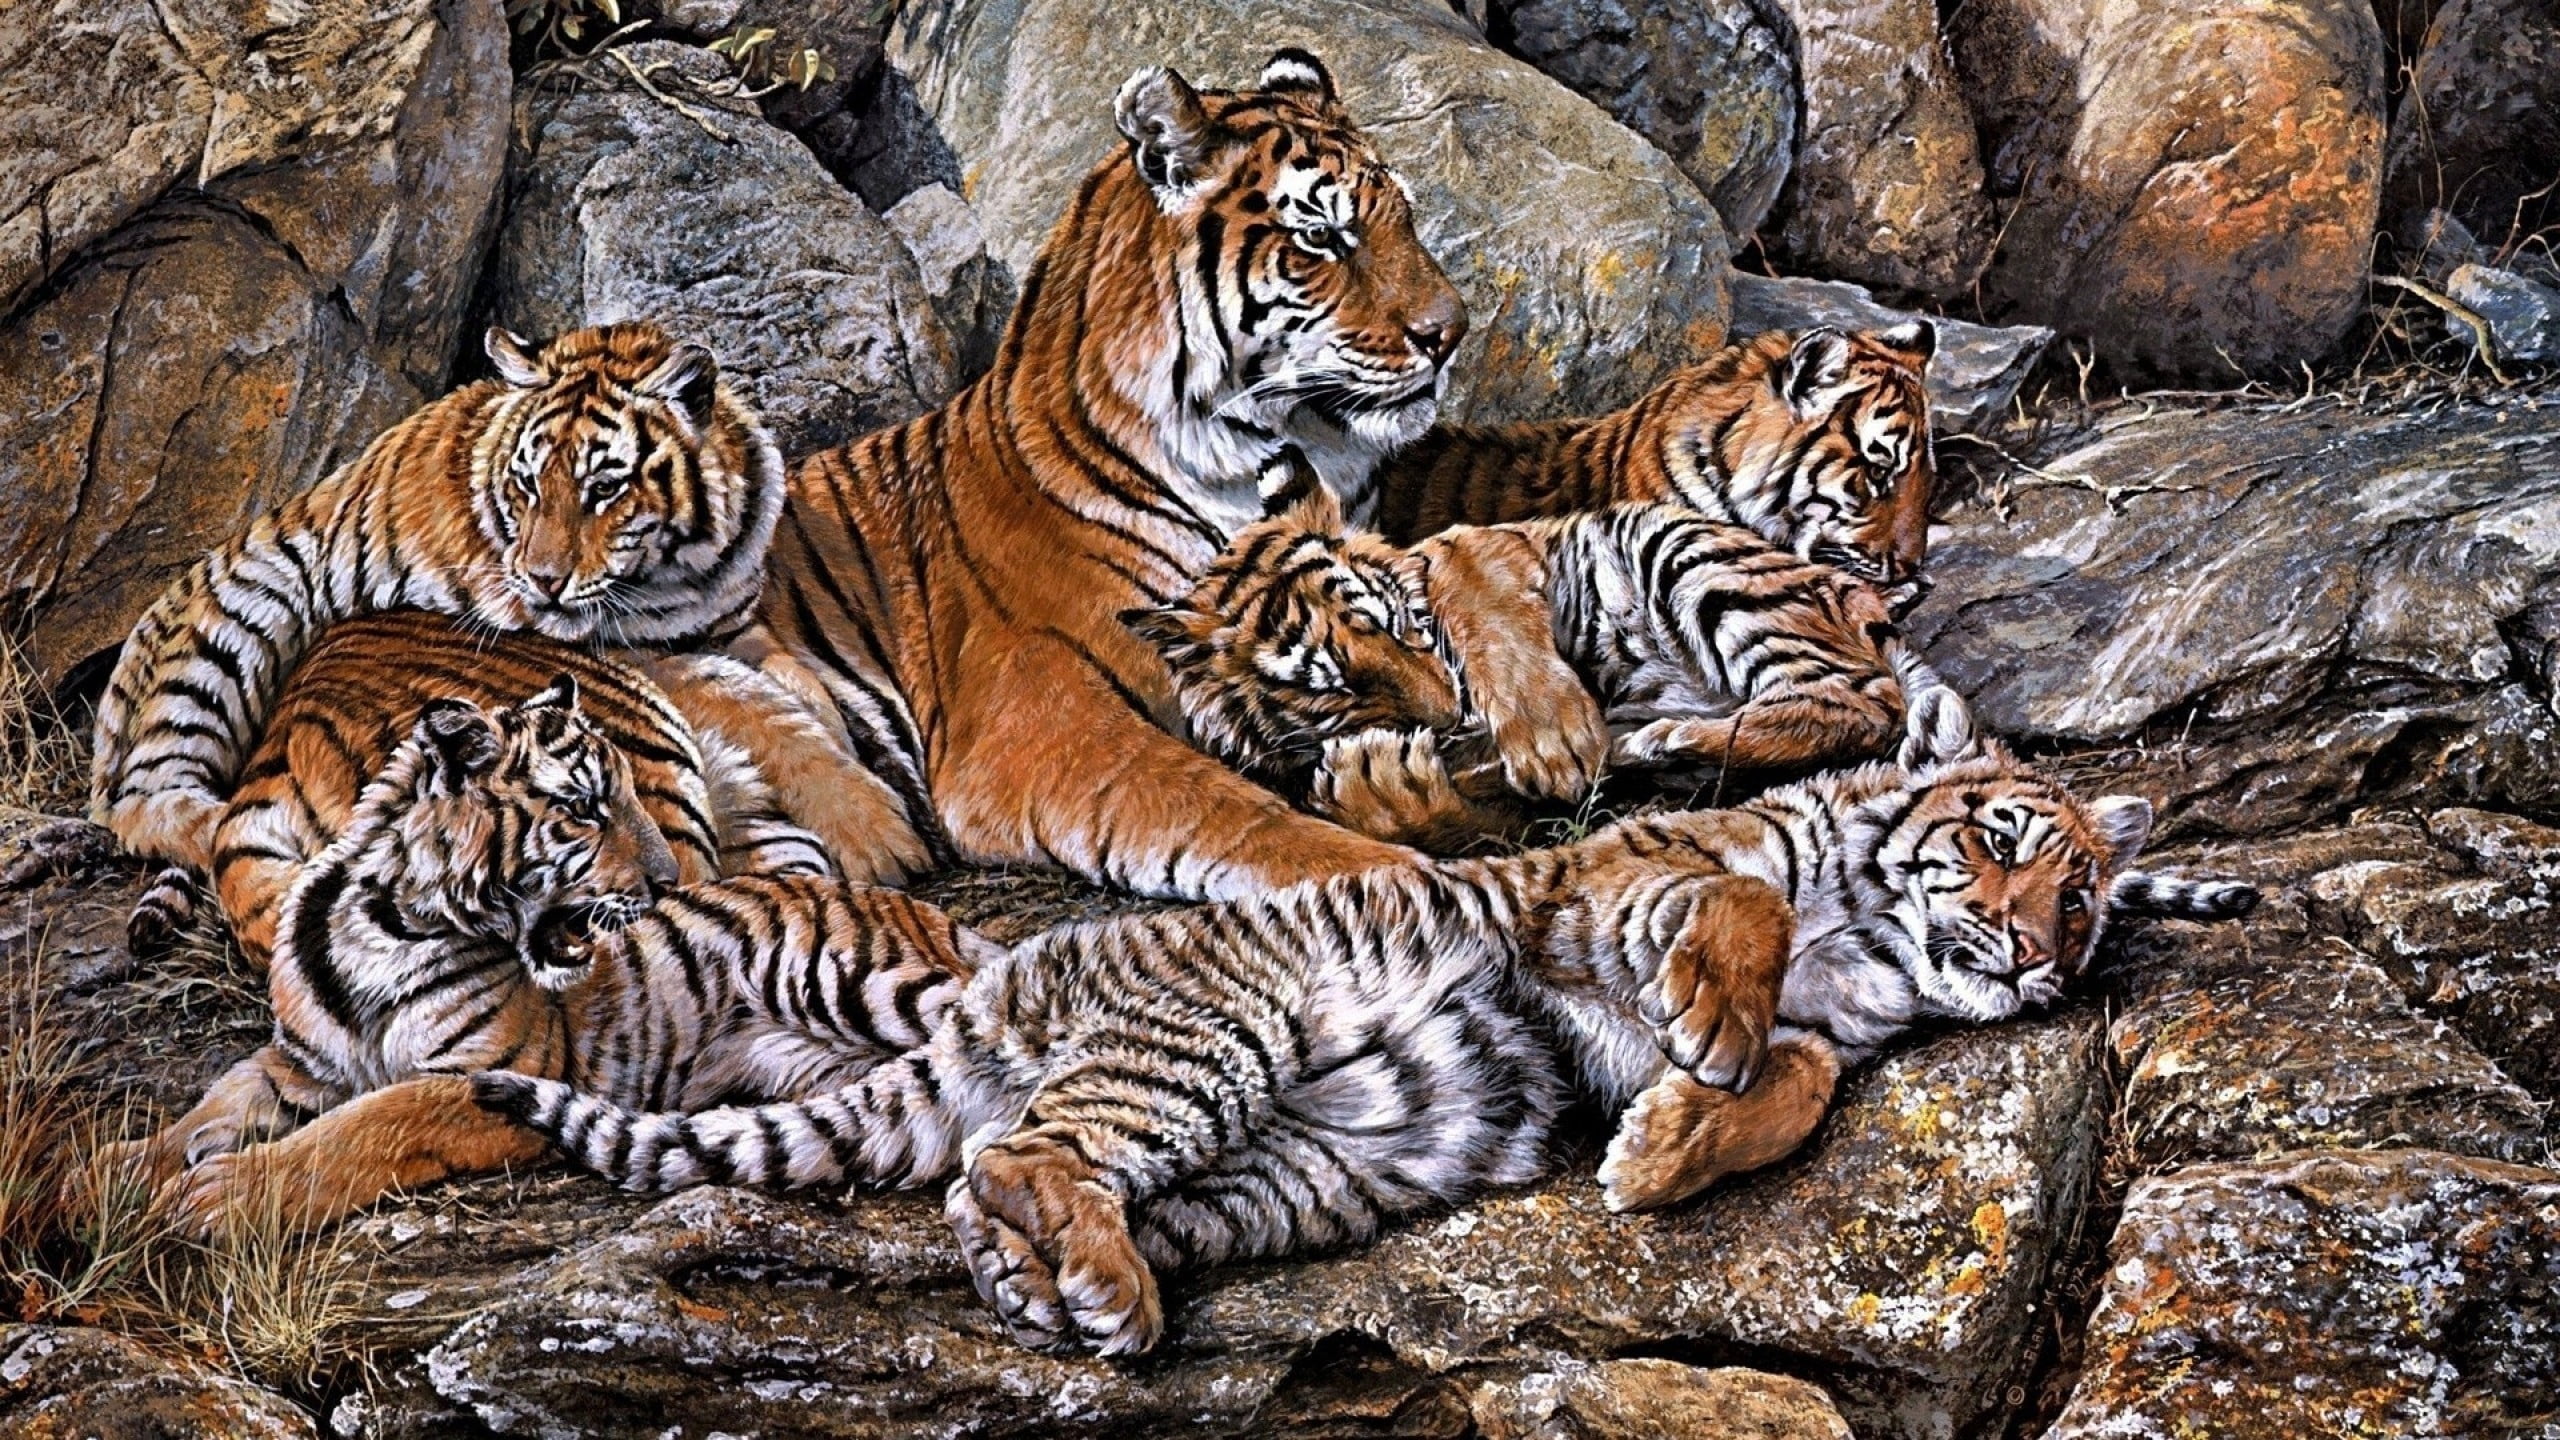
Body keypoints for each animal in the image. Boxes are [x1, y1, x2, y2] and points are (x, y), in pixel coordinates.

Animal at [83, 321, 919, 889]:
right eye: (527, 483)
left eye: (604, 487)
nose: (541, 581)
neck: (681, 571)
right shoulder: (634, 655)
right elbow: (763, 713)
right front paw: (878, 832)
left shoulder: (737, 627)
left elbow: (802, 688)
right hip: (228, 635)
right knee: (146, 805)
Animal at [113, 671, 978, 1236]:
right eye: (585, 809)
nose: (668, 879)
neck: (382, 925)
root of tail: (919, 909)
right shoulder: (299, 1069)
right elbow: (207, 1110)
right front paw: (112, 1176)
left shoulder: (486, 1075)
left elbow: (364, 1128)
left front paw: (226, 1194)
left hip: (851, 977)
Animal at [475, 706, 2255, 1358]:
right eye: (2010, 845)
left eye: (2086, 906)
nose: (2034, 960)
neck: (1879, 948)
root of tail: (999, 989)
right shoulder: (1600, 885)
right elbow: (1741, 912)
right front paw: (1711, 1050)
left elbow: (1803, 1082)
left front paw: (1666, 1149)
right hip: (1224, 1030)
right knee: (1038, 1150)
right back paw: (1098, 1292)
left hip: (1319, 1168)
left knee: (1007, 1177)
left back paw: (1054, 1293)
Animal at [742, 50, 1479, 900]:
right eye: (1323, 236)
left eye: (1406, 218)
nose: (1451, 333)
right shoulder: (1037, 717)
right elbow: (1221, 808)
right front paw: (1399, 875)